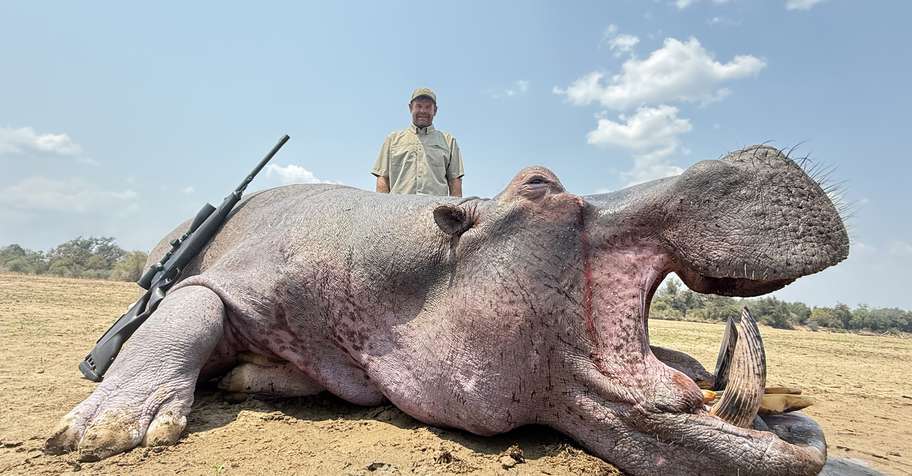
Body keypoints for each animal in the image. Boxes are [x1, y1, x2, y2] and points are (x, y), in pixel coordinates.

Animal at [45, 145, 848, 475]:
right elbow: (187, 309)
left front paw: (249, 379)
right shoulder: (241, 277)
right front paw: (98, 433)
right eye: (538, 182)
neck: (423, 269)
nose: (745, 156)